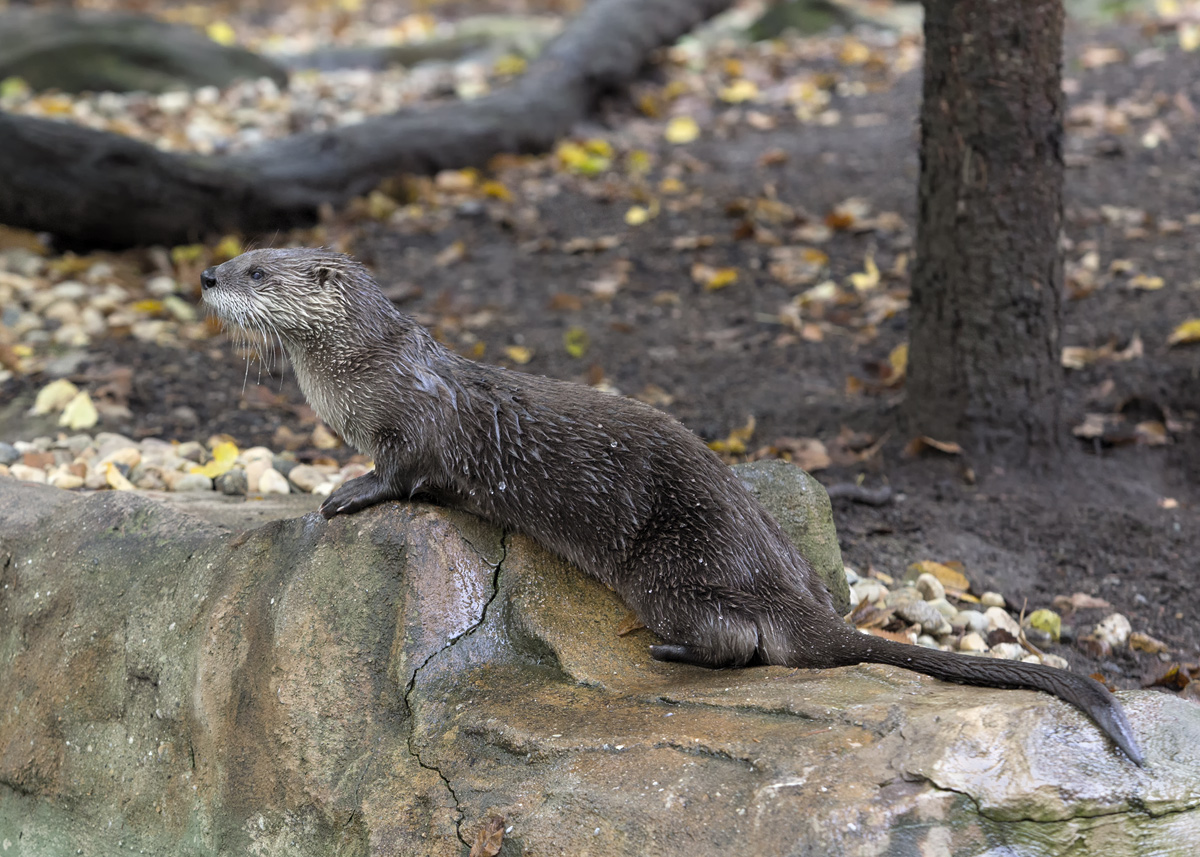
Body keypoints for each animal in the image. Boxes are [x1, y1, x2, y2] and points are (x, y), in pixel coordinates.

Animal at [199, 244, 1142, 763]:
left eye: (256, 269)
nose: (206, 273)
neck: (357, 373)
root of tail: (784, 584)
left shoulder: (412, 427)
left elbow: (400, 474)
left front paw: (342, 494)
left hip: (674, 564)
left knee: (740, 642)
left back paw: (668, 648)